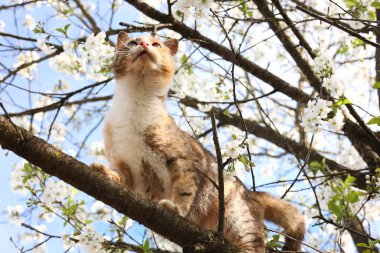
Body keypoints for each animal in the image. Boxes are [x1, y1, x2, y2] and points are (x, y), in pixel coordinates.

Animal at [92, 32, 306, 253]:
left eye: (156, 44)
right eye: (133, 42)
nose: (143, 44)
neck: (137, 104)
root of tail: (252, 193)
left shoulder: (185, 161)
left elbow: (184, 190)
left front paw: (176, 208)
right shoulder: (125, 165)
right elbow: (119, 175)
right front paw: (105, 172)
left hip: (239, 224)